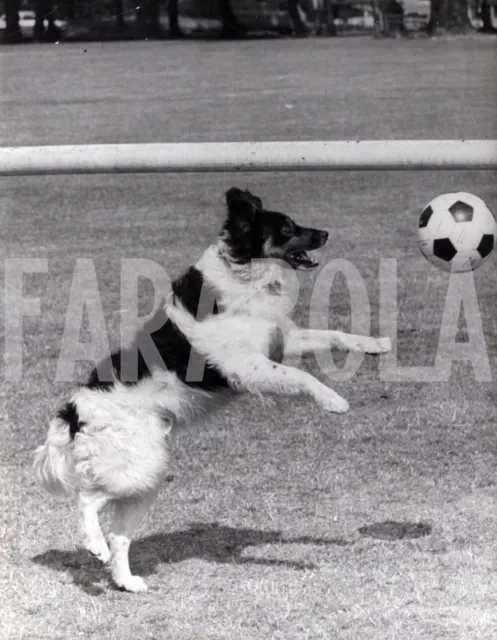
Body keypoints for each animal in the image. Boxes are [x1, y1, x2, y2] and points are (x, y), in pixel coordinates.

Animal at [35, 188, 392, 592]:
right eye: (286, 228)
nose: (326, 234)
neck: (246, 273)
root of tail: (73, 410)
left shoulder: (281, 340)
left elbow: (335, 335)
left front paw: (377, 344)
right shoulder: (250, 366)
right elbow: (302, 378)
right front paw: (334, 401)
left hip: (145, 471)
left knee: (119, 534)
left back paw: (127, 581)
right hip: (134, 467)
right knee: (87, 498)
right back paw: (95, 545)